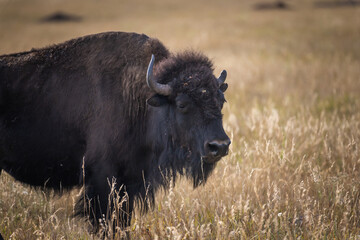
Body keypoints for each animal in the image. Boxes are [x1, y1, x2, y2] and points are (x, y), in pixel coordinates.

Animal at [0, 31, 231, 231]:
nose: (219, 146)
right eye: (182, 104)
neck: (140, 100)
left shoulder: (129, 184)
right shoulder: (103, 182)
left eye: (221, 100)